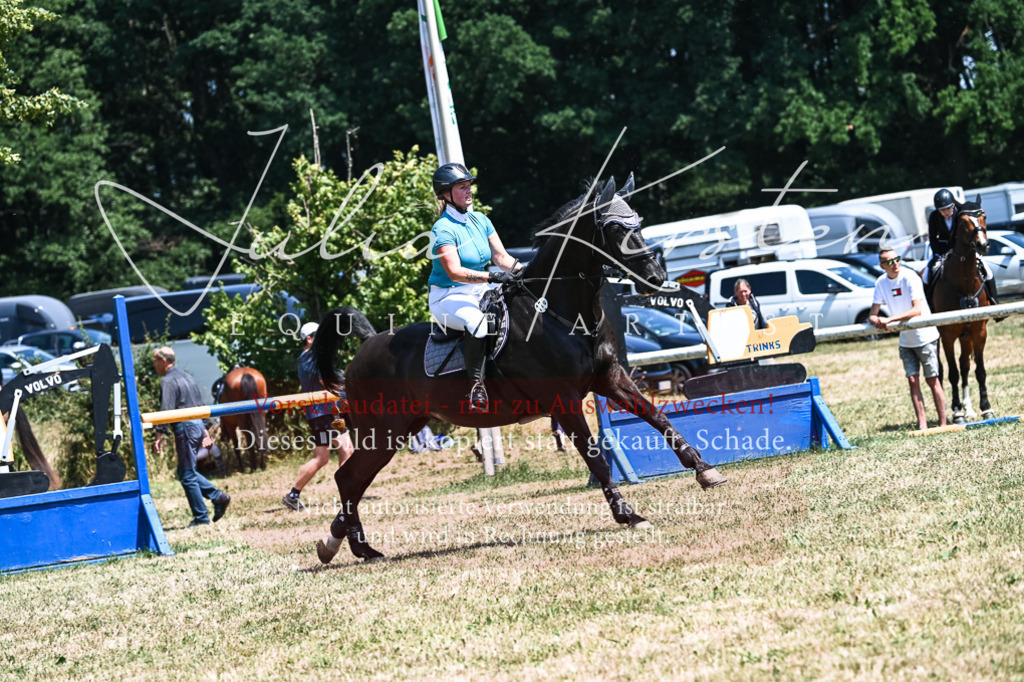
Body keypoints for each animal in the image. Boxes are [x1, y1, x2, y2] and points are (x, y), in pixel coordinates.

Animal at [311, 174, 728, 563]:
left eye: (637, 223)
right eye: (614, 229)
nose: (656, 278)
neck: (561, 310)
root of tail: (366, 344)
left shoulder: (611, 378)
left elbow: (658, 417)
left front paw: (705, 471)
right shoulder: (564, 400)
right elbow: (594, 455)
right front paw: (628, 514)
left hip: (401, 429)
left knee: (355, 480)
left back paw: (342, 543)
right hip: (383, 431)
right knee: (348, 477)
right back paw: (354, 546)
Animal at [931, 197, 995, 425]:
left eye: (984, 216)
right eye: (963, 222)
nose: (983, 245)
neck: (964, 281)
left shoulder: (979, 331)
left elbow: (979, 371)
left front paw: (986, 408)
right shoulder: (948, 334)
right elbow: (952, 373)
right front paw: (956, 412)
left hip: (966, 336)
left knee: (965, 365)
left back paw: (969, 409)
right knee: (944, 370)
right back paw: (952, 410)